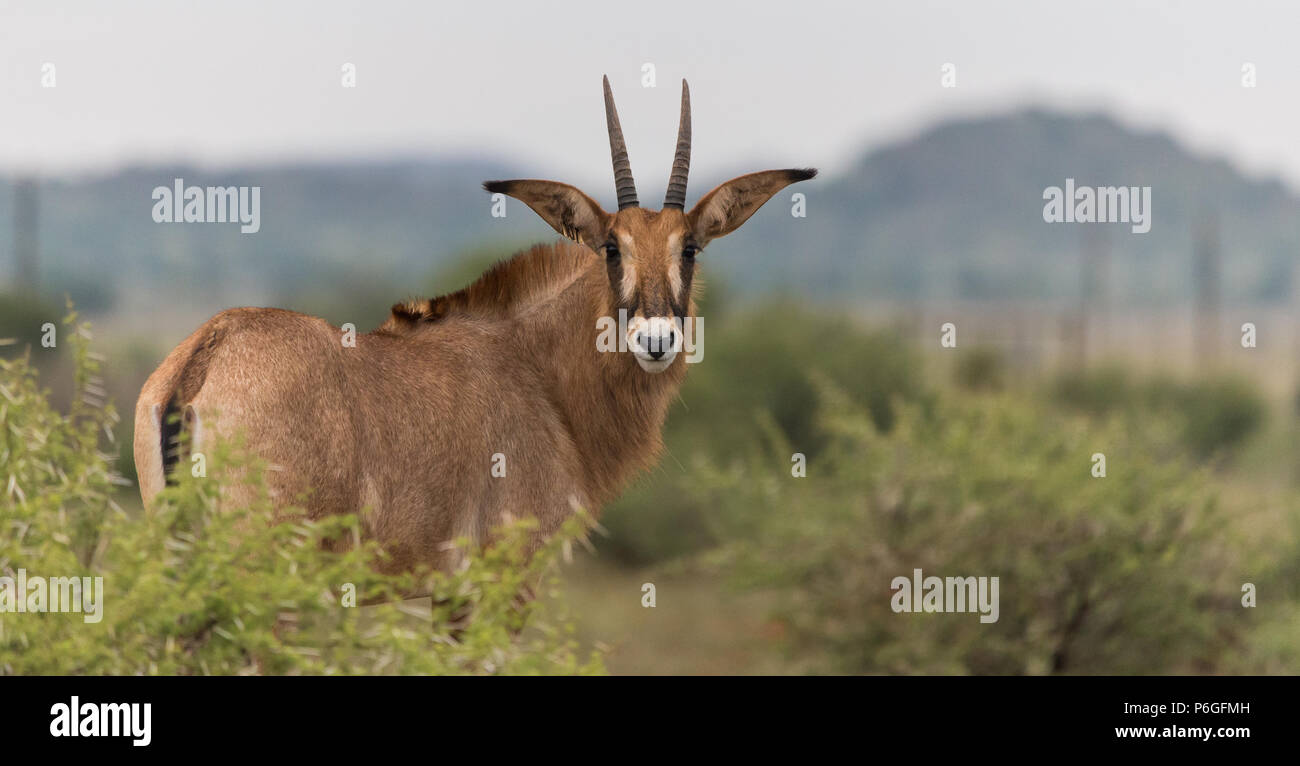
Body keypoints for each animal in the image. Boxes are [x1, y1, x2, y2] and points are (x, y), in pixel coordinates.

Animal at [137, 77, 816, 572]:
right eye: (611, 248)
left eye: (690, 249)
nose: (655, 339)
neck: (538, 372)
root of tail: (206, 355)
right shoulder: (498, 575)